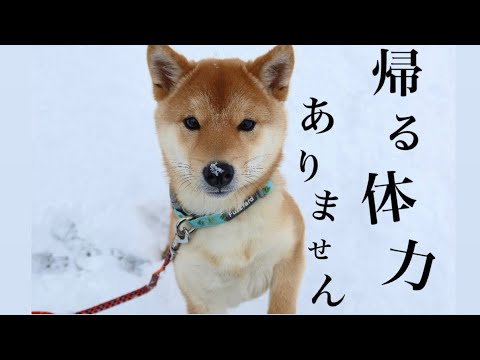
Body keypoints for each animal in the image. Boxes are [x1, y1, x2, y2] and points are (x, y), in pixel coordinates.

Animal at [146, 45, 304, 314]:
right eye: (191, 121)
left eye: (247, 123)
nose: (218, 172)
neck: (227, 218)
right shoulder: (200, 299)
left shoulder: (290, 253)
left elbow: (282, 303)